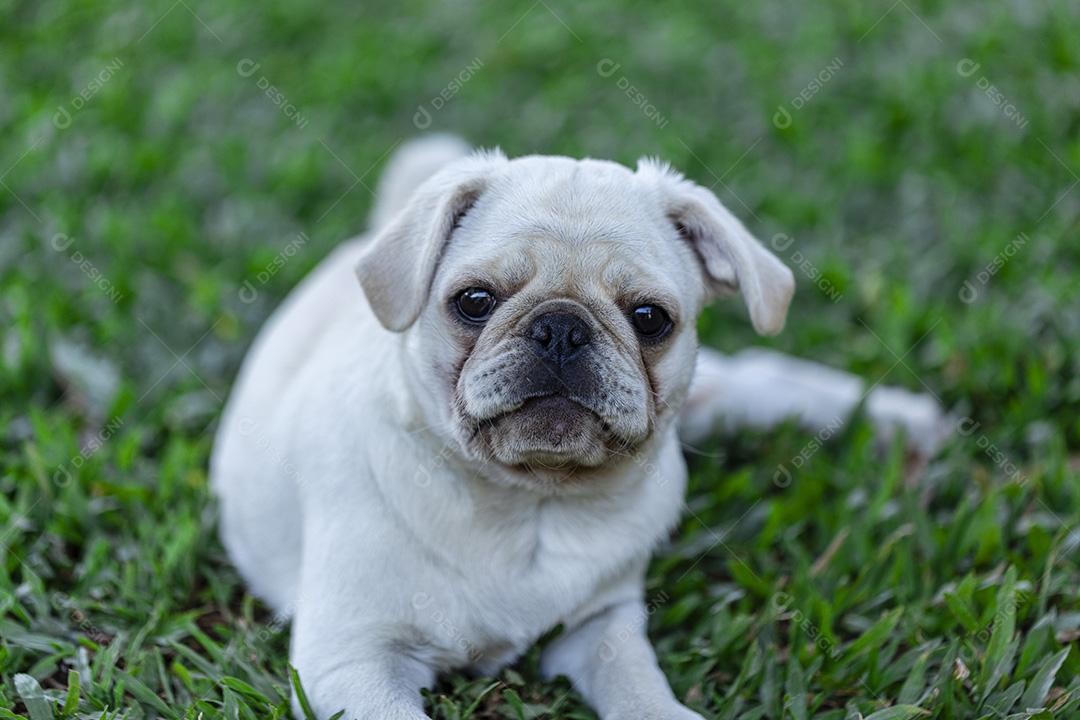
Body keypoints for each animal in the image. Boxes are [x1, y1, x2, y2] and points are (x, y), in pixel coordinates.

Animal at [212, 136, 946, 720]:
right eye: (473, 302)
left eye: (649, 318)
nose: (561, 327)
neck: (530, 500)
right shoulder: (354, 661)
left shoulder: (602, 627)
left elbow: (640, 692)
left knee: (761, 376)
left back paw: (904, 421)